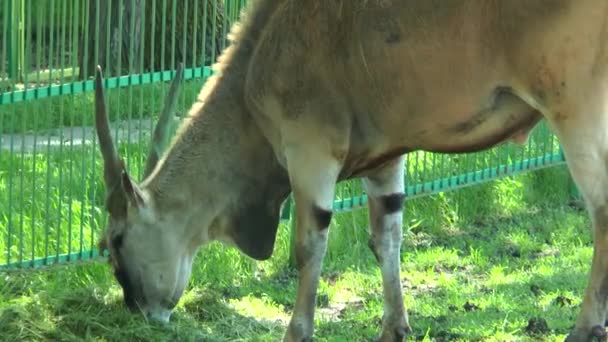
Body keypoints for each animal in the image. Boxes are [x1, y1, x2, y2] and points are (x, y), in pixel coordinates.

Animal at [95, 1, 608, 340]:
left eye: (114, 241)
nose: (136, 308)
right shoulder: (385, 163)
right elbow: (387, 239)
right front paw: (395, 328)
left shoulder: (310, 152)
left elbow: (309, 245)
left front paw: (297, 331)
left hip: (575, 114)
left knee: (600, 211)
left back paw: (585, 327)